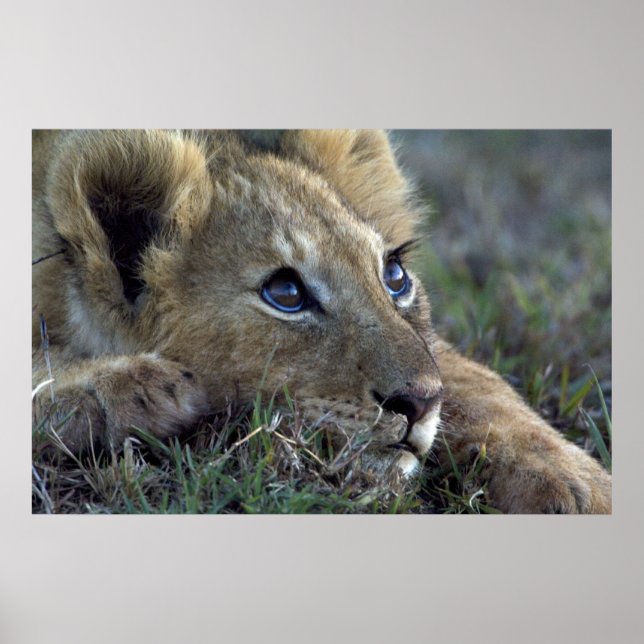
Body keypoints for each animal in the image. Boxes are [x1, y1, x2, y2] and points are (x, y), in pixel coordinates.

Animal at [32, 129, 612, 513]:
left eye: (394, 276)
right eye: (286, 293)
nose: (419, 404)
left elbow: (482, 384)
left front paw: (581, 485)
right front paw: (136, 384)